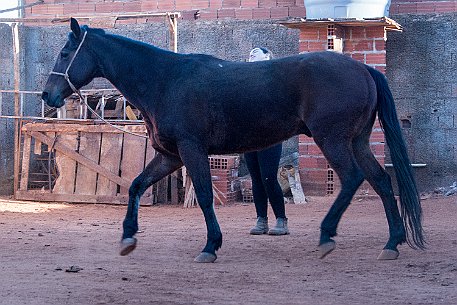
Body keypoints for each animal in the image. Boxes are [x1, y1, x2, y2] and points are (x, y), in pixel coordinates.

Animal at [42, 18, 424, 262]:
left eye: (65, 54)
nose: (48, 95)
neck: (167, 80)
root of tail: (364, 69)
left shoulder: (192, 151)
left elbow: (205, 197)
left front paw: (211, 246)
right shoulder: (171, 156)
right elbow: (136, 185)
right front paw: (127, 238)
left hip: (332, 140)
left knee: (353, 179)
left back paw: (327, 235)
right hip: (357, 141)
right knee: (382, 181)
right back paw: (392, 243)